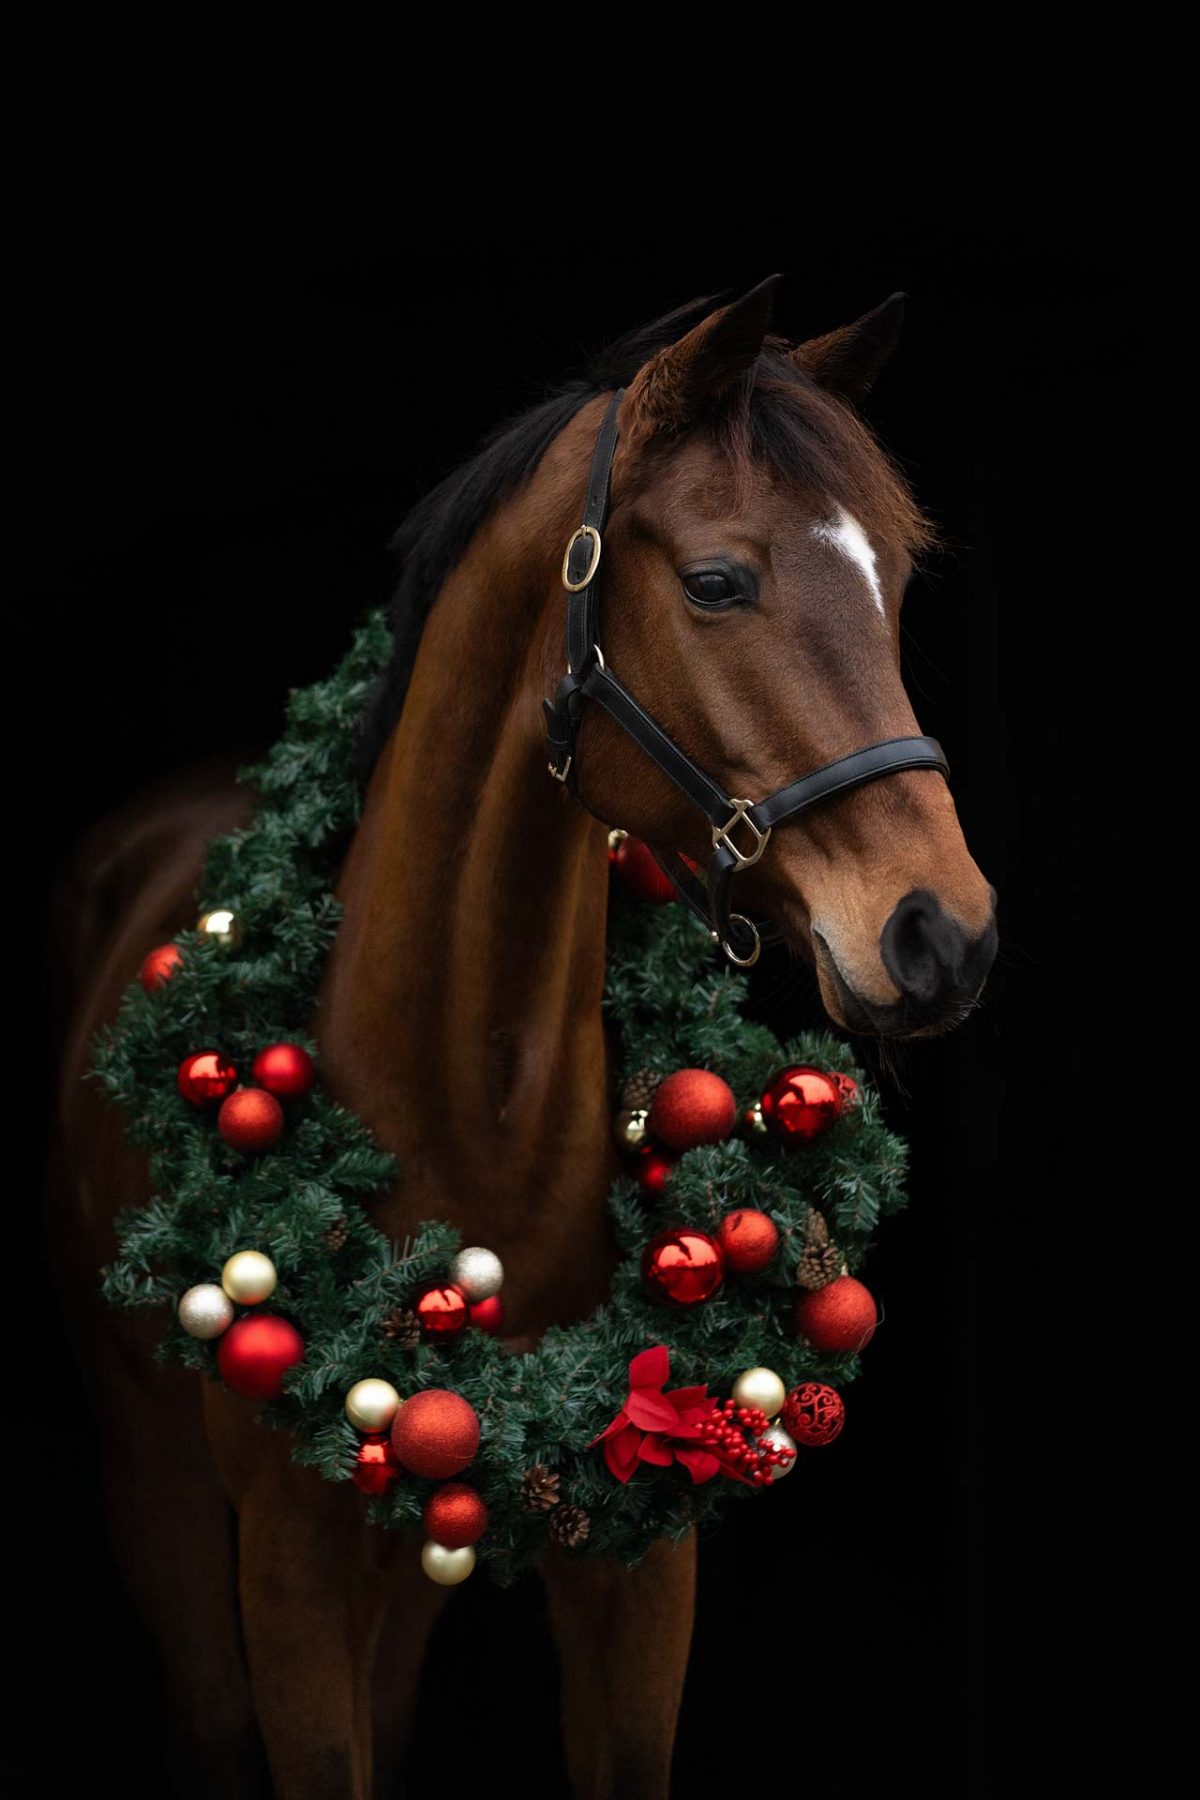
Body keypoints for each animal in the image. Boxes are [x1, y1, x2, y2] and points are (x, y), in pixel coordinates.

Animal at [47, 275, 998, 1798]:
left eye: (897, 583)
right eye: (718, 582)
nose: (942, 934)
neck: (467, 1101)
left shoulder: (640, 1570)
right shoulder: (288, 1575)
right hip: (158, 1492)